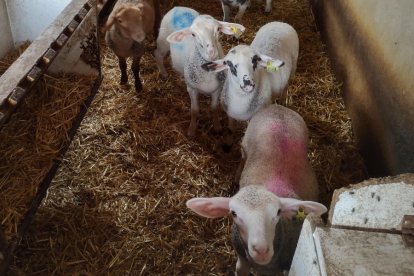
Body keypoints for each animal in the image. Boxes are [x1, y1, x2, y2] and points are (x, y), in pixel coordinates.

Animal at [154, 8, 246, 137]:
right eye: (193, 34)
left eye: (218, 29)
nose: (211, 52)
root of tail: (178, 7)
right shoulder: (192, 89)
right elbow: (194, 110)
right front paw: (192, 130)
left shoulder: (217, 89)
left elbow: (214, 107)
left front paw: (217, 126)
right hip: (163, 40)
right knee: (157, 54)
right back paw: (163, 73)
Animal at [187, 104, 326, 276]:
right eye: (234, 213)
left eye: (278, 212)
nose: (261, 250)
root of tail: (277, 107)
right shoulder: (241, 262)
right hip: (245, 145)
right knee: (243, 159)